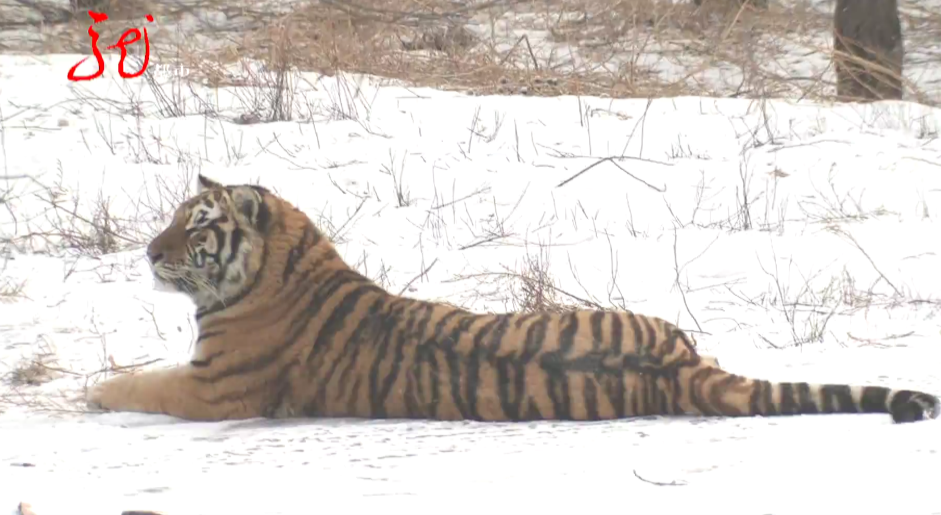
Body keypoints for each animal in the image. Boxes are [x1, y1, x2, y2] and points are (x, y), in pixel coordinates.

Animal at [84, 175, 936, 426]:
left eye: (195, 224)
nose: (149, 252)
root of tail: (681, 369)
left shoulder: (212, 388)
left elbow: (141, 382)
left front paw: (92, 390)